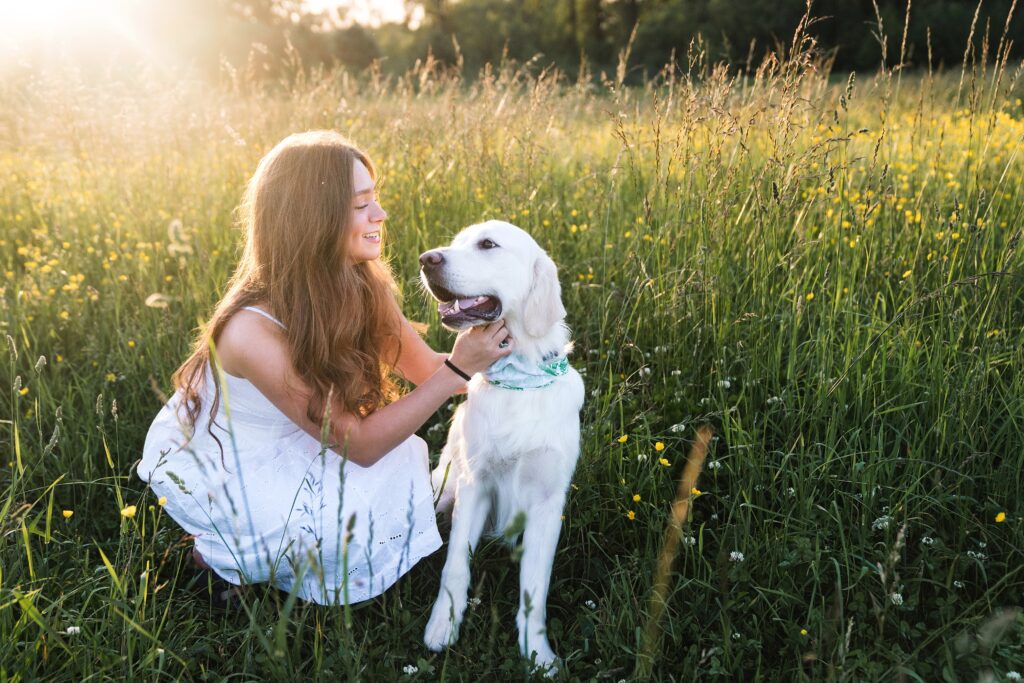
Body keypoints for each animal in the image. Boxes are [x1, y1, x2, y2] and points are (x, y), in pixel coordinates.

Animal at [417, 222, 585, 671]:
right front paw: (443, 626)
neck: (520, 379)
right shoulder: (475, 485)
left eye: (488, 244)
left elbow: (534, 587)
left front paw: (537, 652)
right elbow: (455, 566)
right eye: (455, 244)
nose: (426, 259)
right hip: (443, 489)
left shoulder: (546, 503)